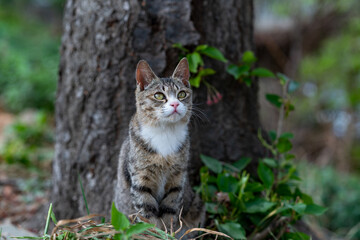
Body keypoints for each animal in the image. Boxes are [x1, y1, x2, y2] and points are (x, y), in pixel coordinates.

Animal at [115, 58, 205, 236]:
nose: (175, 104)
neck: (165, 132)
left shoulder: (177, 179)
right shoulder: (140, 179)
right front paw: (153, 233)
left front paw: (168, 233)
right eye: (159, 95)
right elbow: (146, 211)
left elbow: (170, 209)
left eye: (182, 94)